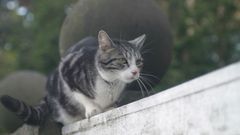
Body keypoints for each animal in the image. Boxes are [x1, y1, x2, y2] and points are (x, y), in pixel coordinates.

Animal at [0, 30, 146, 125]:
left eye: (138, 62)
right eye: (123, 60)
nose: (135, 72)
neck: (110, 82)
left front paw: (109, 108)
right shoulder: (66, 71)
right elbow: (80, 95)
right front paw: (92, 109)